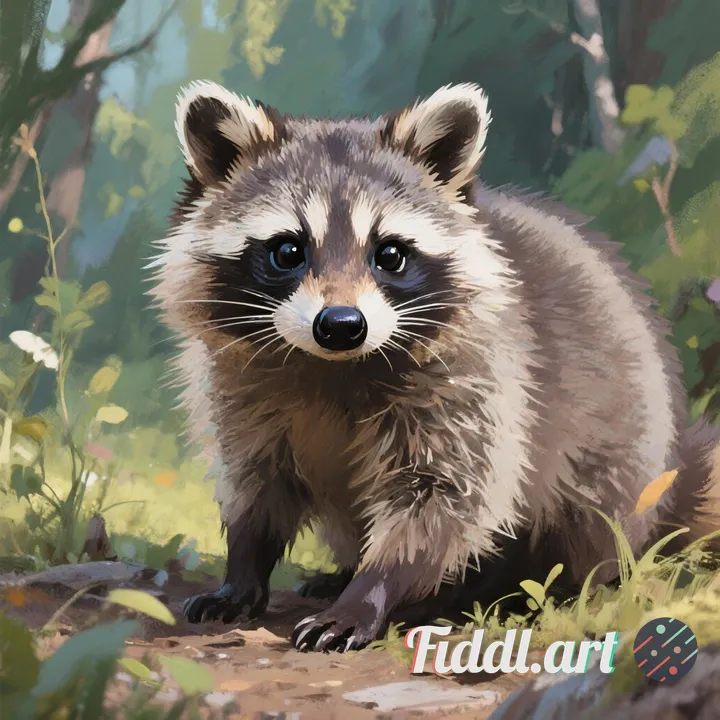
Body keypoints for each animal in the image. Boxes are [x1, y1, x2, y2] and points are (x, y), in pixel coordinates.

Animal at [148, 80, 720, 652]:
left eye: (390, 254)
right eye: (288, 250)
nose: (341, 324)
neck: (334, 365)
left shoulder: (478, 377)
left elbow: (444, 499)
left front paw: (372, 591)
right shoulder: (238, 383)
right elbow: (256, 483)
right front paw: (244, 569)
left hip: (621, 458)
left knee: (582, 522)